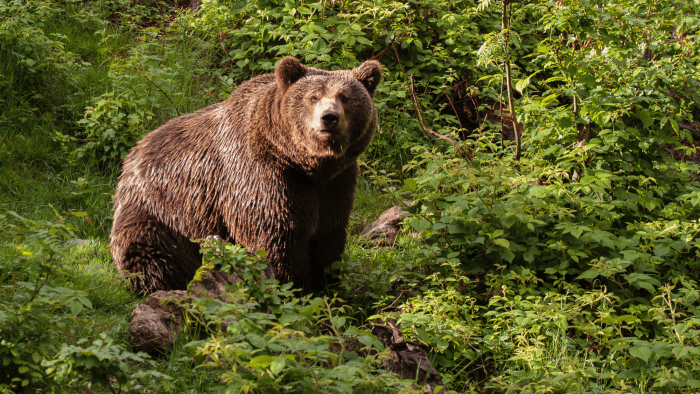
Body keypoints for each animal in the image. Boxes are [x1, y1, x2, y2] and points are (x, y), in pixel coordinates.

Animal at [110, 57, 382, 294]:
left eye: (345, 97)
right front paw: (294, 287)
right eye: (313, 97)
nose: (329, 118)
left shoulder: (335, 183)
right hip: (161, 213)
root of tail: (133, 153)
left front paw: (328, 284)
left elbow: (328, 234)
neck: (305, 164)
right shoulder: (261, 175)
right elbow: (275, 237)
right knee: (148, 252)